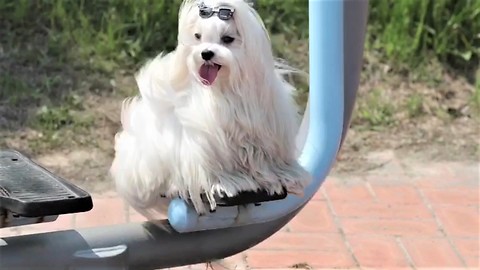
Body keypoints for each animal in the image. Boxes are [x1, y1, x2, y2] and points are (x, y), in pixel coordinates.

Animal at [109, 0, 312, 220]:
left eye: (228, 39)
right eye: (198, 36)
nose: (205, 53)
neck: (225, 90)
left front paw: (286, 174)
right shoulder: (206, 144)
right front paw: (229, 182)